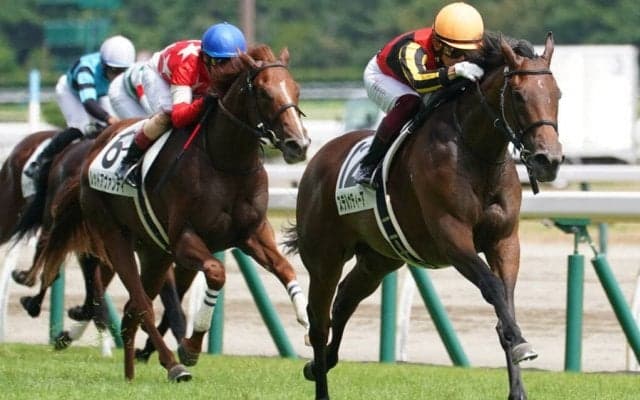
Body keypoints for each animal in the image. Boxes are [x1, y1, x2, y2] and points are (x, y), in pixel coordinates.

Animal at [27, 44, 310, 381]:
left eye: (296, 89)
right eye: (265, 93)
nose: (299, 144)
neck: (225, 162)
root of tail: (92, 151)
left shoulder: (252, 234)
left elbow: (286, 268)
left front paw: (306, 319)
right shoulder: (184, 239)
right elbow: (216, 273)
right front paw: (190, 347)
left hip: (154, 253)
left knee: (131, 312)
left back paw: (130, 372)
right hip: (114, 236)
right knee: (140, 304)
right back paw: (172, 365)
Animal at [283, 32, 562, 400]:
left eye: (557, 94)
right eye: (517, 95)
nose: (549, 160)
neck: (476, 153)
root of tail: (318, 157)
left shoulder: (504, 241)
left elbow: (506, 302)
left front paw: (517, 374)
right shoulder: (452, 237)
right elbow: (492, 288)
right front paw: (520, 342)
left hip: (379, 259)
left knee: (344, 300)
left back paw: (320, 364)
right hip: (324, 257)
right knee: (319, 319)